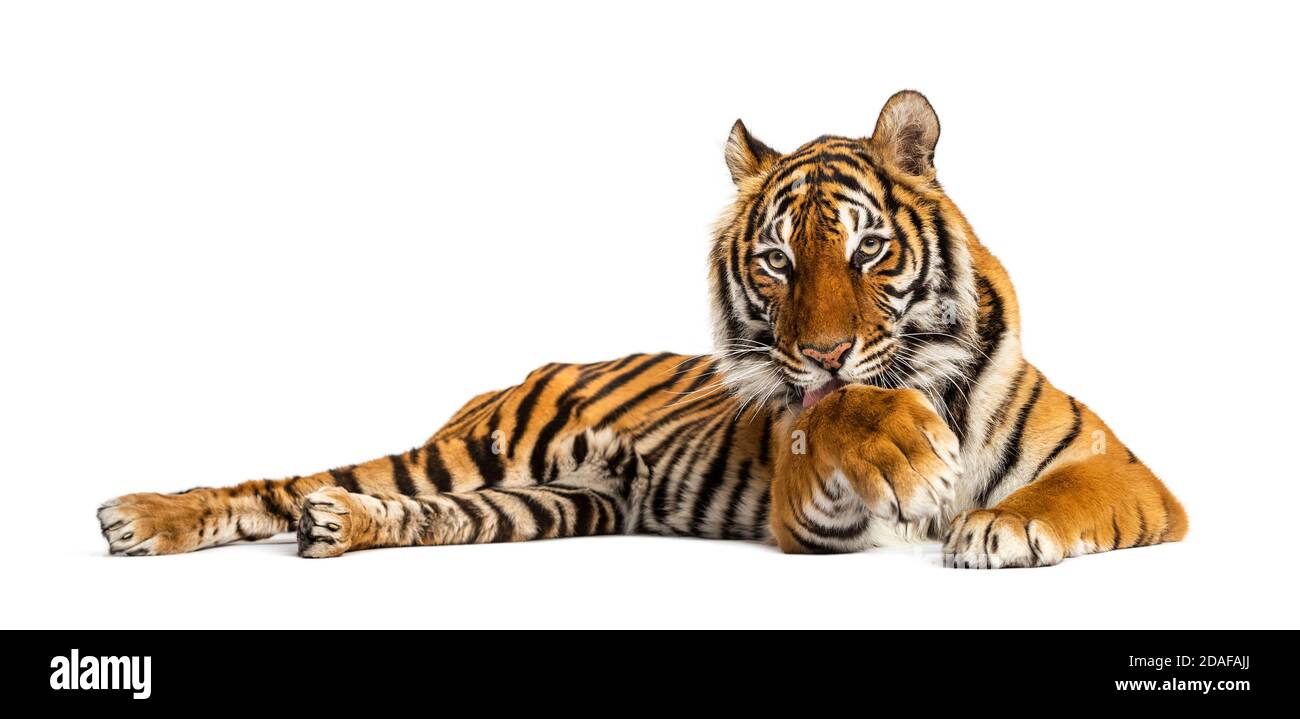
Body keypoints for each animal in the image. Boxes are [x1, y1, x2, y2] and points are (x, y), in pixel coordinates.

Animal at [97, 90, 1187, 568]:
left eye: (866, 250)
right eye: (777, 260)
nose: (823, 351)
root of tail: (503, 380)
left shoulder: (1132, 474)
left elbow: (1072, 493)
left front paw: (997, 524)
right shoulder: (812, 511)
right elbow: (833, 418)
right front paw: (897, 440)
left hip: (556, 500)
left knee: (406, 511)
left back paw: (335, 526)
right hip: (475, 451)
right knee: (279, 482)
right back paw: (143, 517)